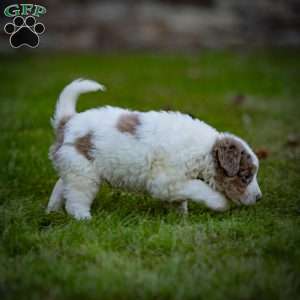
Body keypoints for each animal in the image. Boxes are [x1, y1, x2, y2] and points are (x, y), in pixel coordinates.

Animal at [46, 79, 260, 220]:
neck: (204, 151)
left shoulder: (174, 183)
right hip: (83, 173)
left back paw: (52, 211)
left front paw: (181, 217)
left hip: (74, 167)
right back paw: (84, 219)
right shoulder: (166, 181)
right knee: (75, 199)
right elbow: (199, 188)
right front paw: (219, 203)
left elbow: (181, 198)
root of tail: (67, 122)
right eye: (245, 177)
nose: (259, 198)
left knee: (61, 185)